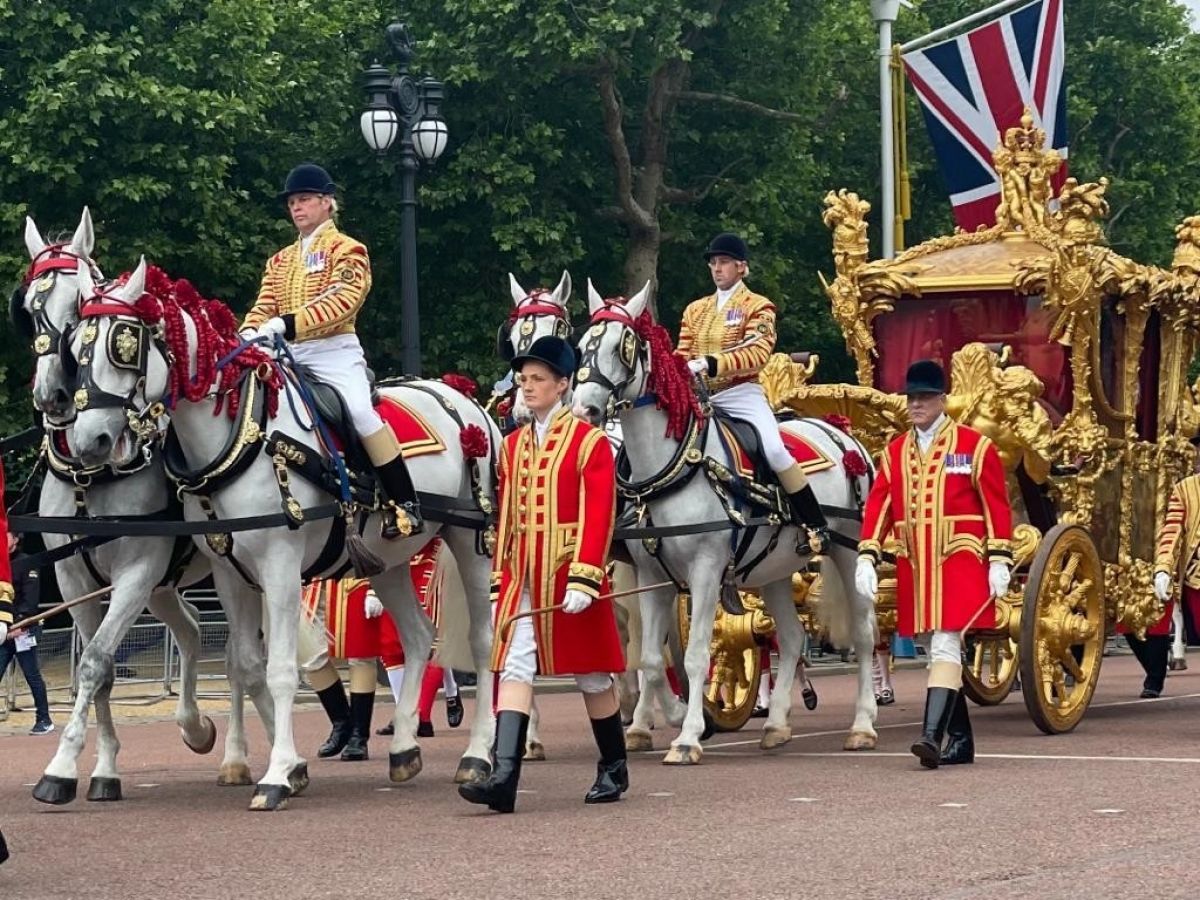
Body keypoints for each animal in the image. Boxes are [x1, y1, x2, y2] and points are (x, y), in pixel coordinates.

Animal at [17, 211, 265, 801]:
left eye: (77, 307)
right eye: (30, 307)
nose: (53, 397)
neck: (88, 477)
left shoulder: (136, 569)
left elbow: (94, 663)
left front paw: (60, 768)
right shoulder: (75, 581)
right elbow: (98, 670)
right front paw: (103, 770)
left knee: (242, 656)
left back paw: (237, 755)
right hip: (166, 585)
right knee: (196, 629)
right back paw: (197, 728)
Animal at [68, 259, 499, 811]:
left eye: (124, 344)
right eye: (76, 349)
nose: (90, 441)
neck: (242, 436)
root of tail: (460, 399)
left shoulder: (280, 566)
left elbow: (278, 672)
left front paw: (276, 776)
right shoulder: (230, 571)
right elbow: (249, 665)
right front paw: (286, 767)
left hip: (471, 543)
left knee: (481, 641)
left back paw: (478, 756)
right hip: (387, 561)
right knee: (420, 635)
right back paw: (404, 748)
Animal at [568, 285, 873, 763]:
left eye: (625, 347)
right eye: (581, 346)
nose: (586, 410)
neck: (673, 468)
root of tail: (843, 433)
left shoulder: (706, 571)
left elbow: (695, 656)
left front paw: (688, 736)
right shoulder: (652, 575)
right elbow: (651, 658)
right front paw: (654, 726)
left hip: (848, 551)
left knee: (862, 633)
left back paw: (862, 725)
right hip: (774, 570)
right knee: (789, 637)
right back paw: (776, 726)